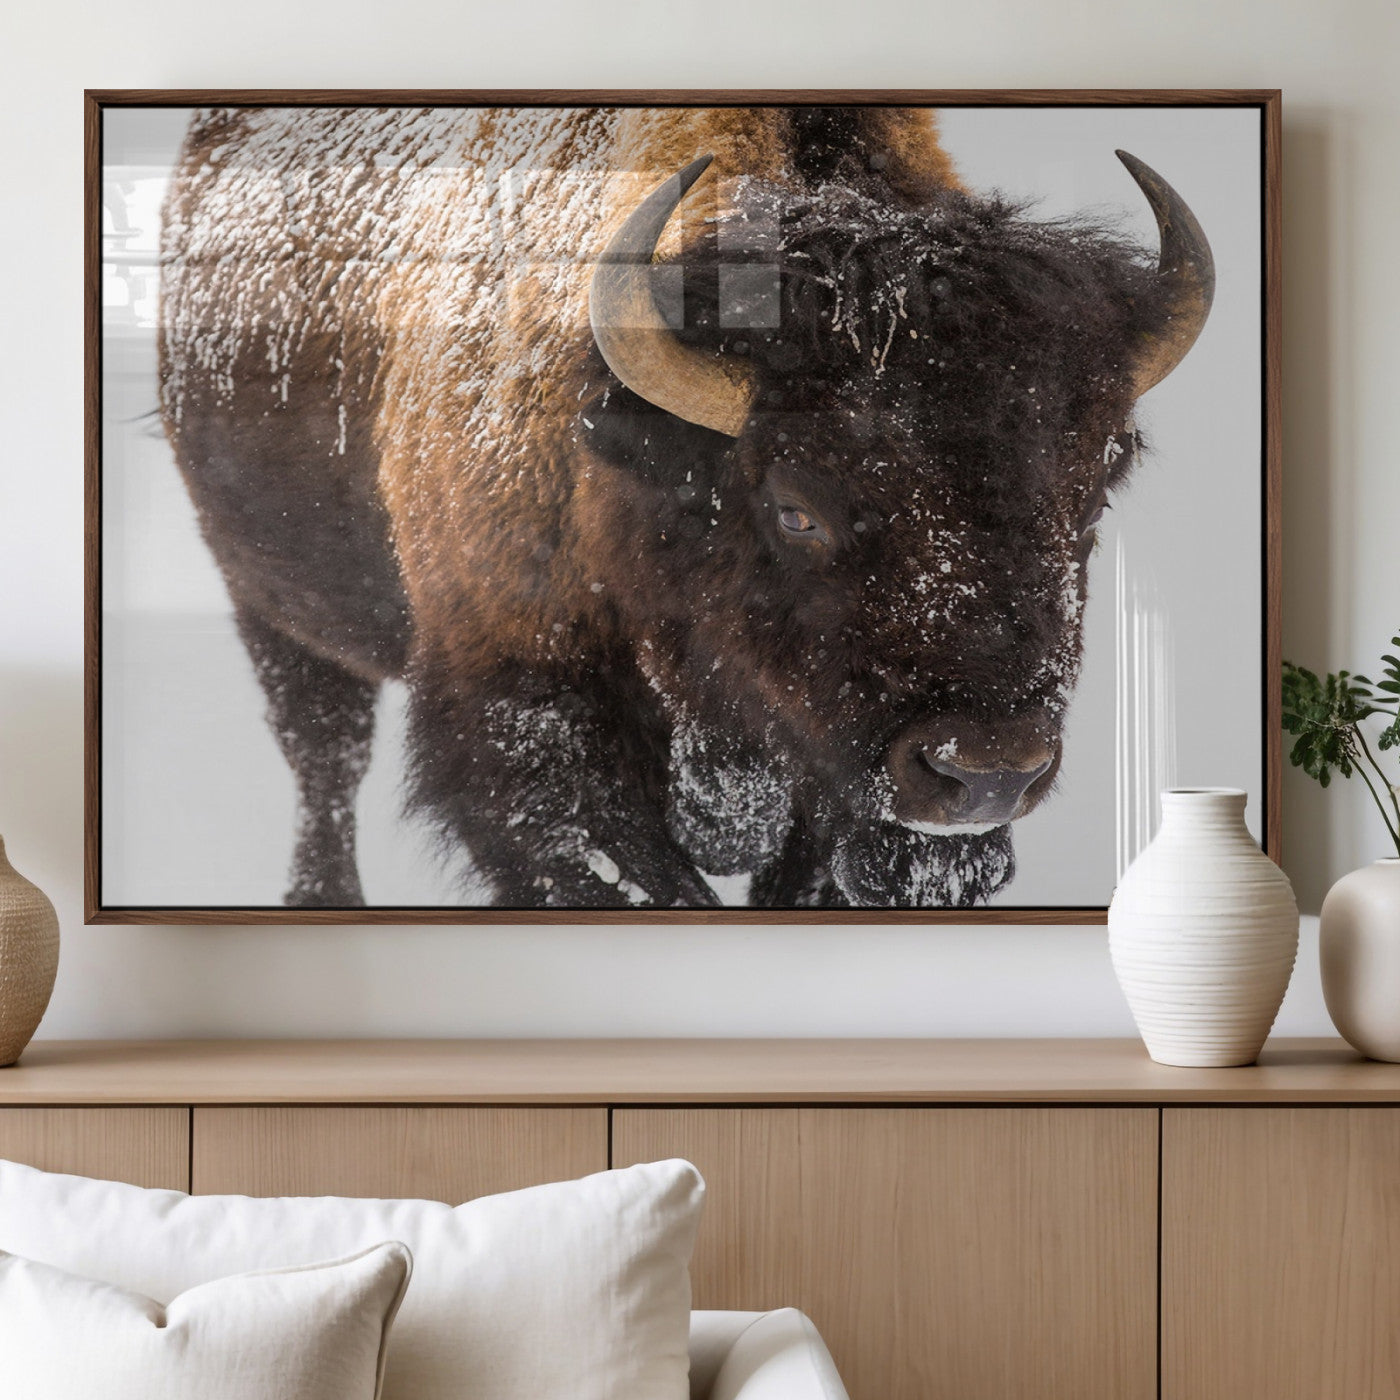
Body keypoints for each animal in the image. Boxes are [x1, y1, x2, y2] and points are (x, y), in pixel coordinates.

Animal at [157, 105, 1213, 909]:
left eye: (1092, 492)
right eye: (796, 509)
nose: (985, 770)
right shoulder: (526, 721)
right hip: (273, 607)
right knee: (324, 759)